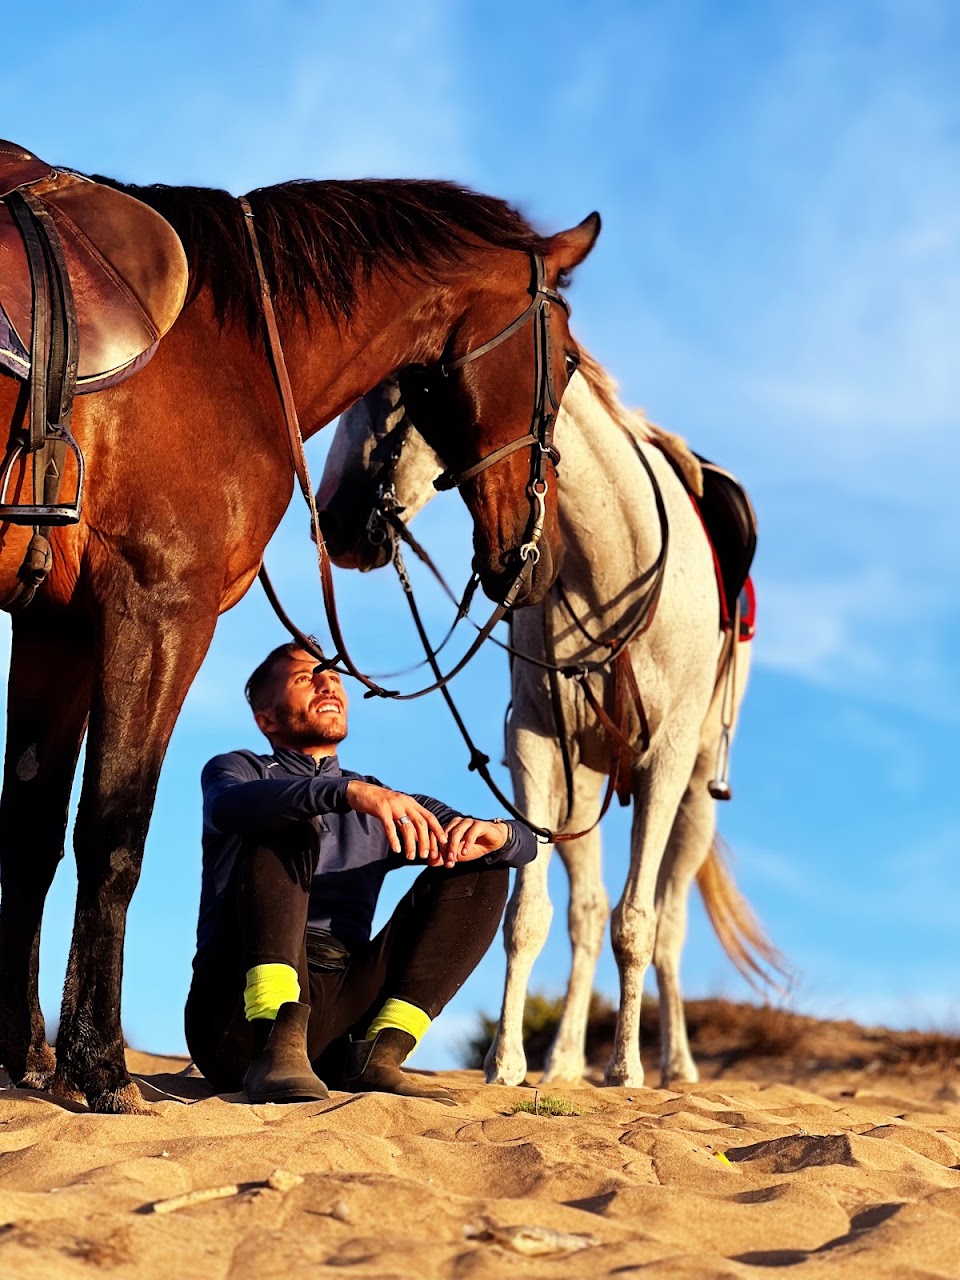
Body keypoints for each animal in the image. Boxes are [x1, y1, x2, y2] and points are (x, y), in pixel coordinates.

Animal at [0, 159, 600, 1112]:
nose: (532, 563)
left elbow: (30, 833)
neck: (228, 338)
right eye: (568, 361)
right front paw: (96, 1065)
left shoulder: (55, 627)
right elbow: (113, 833)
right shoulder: (157, 608)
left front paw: (20, 1056)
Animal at [315, 358, 784, 1087]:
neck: (611, 566)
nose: (331, 517)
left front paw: (625, 1069)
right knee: (586, 915)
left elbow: (639, 922)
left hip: (695, 795)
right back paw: (562, 1063)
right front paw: (506, 1063)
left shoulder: (664, 760)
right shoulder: (534, 747)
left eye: (404, 389)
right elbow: (529, 915)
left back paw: (675, 1066)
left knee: (670, 923)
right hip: (581, 789)